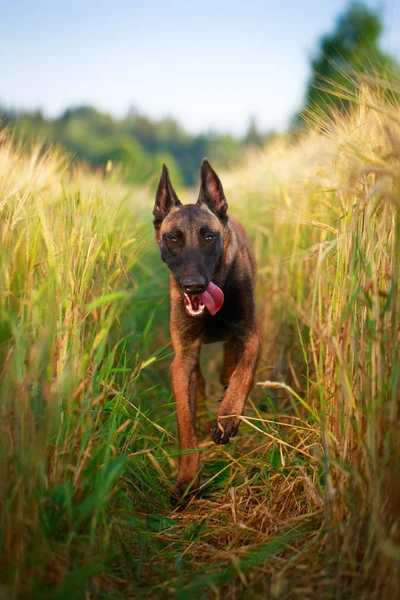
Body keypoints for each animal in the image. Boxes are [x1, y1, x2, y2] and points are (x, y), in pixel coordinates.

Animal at [152, 157, 260, 500]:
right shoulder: (182, 359)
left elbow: (243, 371)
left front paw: (227, 416)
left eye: (209, 237)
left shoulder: (251, 336)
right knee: (198, 382)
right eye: (173, 238)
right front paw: (187, 478)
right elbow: (184, 422)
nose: (194, 286)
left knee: (229, 364)